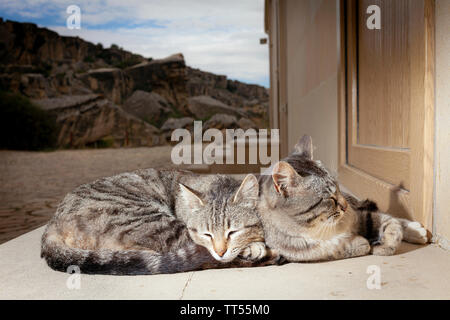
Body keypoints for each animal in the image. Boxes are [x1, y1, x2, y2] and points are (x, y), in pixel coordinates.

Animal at [40, 170, 278, 276]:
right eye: (207, 234)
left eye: (232, 232)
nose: (220, 250)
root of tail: (51, 225)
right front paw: (256, 246)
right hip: (155, 222)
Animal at [256, 136, 428, 262]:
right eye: (330, 198)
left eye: (338, 189)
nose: (345, 206)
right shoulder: (300, 251)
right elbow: (341, 248)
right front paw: (363, 242)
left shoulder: (360, 216)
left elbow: (391, 224)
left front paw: (385, 244)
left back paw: (417, 230)